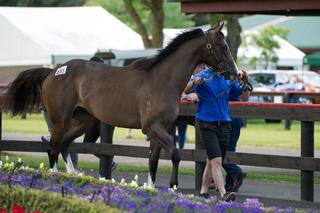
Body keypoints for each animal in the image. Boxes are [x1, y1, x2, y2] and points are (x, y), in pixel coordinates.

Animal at [4, 22, 238, 186]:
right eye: (223, 47)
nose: (235, 73)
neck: (162, 79)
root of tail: (53, 71)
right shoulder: (152, 128)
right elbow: (175, 154)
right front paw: (173, 185)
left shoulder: (162, 128)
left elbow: (153, 161)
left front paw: (152, 189)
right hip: (61, 121)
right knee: (53, 147)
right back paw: (54, 177)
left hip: (84, 121)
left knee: (64, 144)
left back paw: (73, 176)